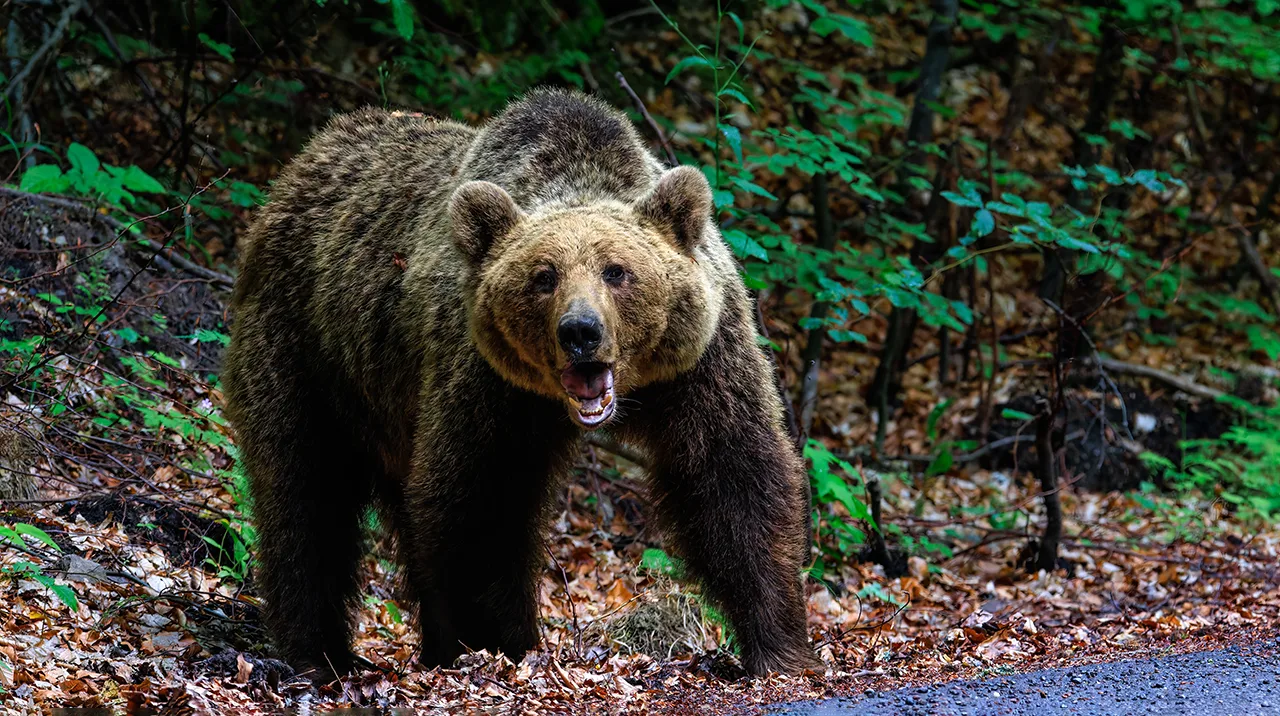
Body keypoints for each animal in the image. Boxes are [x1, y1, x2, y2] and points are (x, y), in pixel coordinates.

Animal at [222, 88, 816, 679]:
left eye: (617, 271)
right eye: (544, 276)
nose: (580, 331)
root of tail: (302, 164)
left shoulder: (700, 362)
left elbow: (733, 475)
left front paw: (776, 644)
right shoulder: (488, 381)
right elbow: (482, 500)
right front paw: (501, 643)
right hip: (307, 351)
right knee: (305, 491)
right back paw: (320, 651)